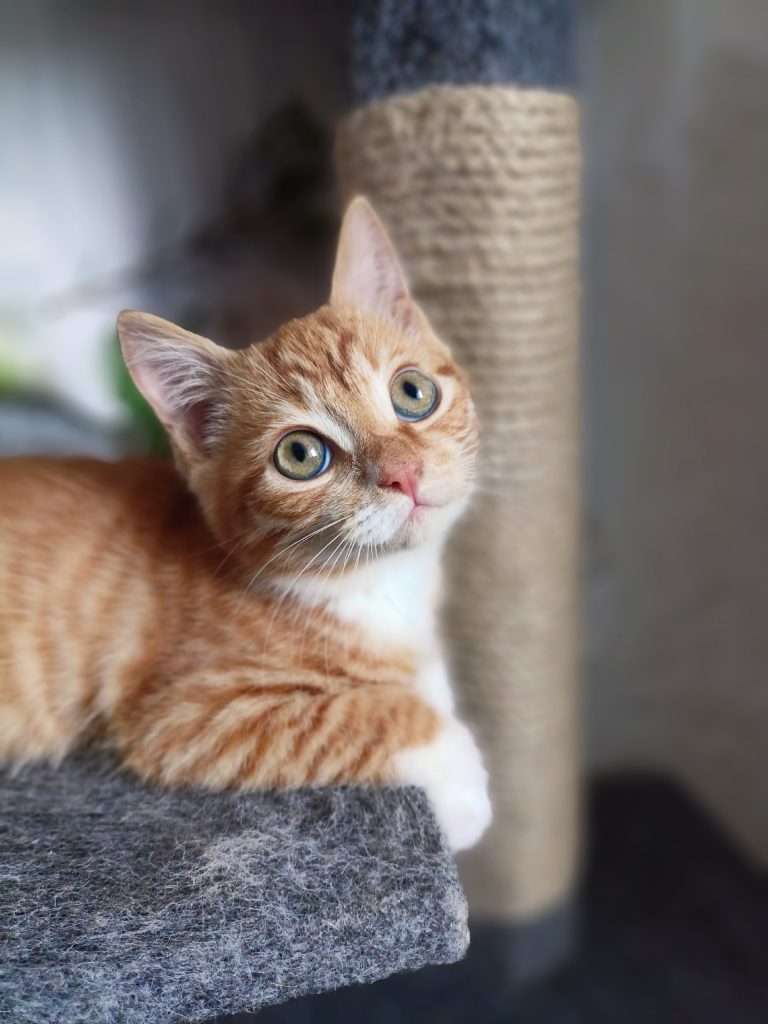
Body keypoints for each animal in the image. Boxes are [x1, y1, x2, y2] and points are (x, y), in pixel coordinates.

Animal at [0, 197, 491, 851]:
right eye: (301, 455)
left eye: (414, 392)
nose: (403, 474)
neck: (378, 585)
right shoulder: (189, 715)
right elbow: (361, 713)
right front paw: (460, 781)